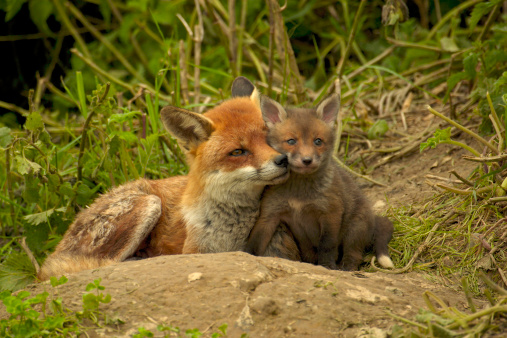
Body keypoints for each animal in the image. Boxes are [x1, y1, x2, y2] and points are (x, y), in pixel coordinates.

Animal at [41, 78, 302, 282]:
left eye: (270, 139)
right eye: (238, 152)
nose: (282, 160)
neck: (232, 235)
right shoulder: (196, 251)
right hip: (148, 204)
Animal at [244, 93, 394, 270]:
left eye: (318, 141)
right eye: (291, 141)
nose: (307, 160)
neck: (299, 194)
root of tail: (373, 219)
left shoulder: (331, 213)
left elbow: (327, 246)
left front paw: (328, 266)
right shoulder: (269, 214)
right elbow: (254, 243)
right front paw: (246, 256)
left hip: (354, 232)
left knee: (354, 255)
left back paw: (346, 268)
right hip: (306, 244)